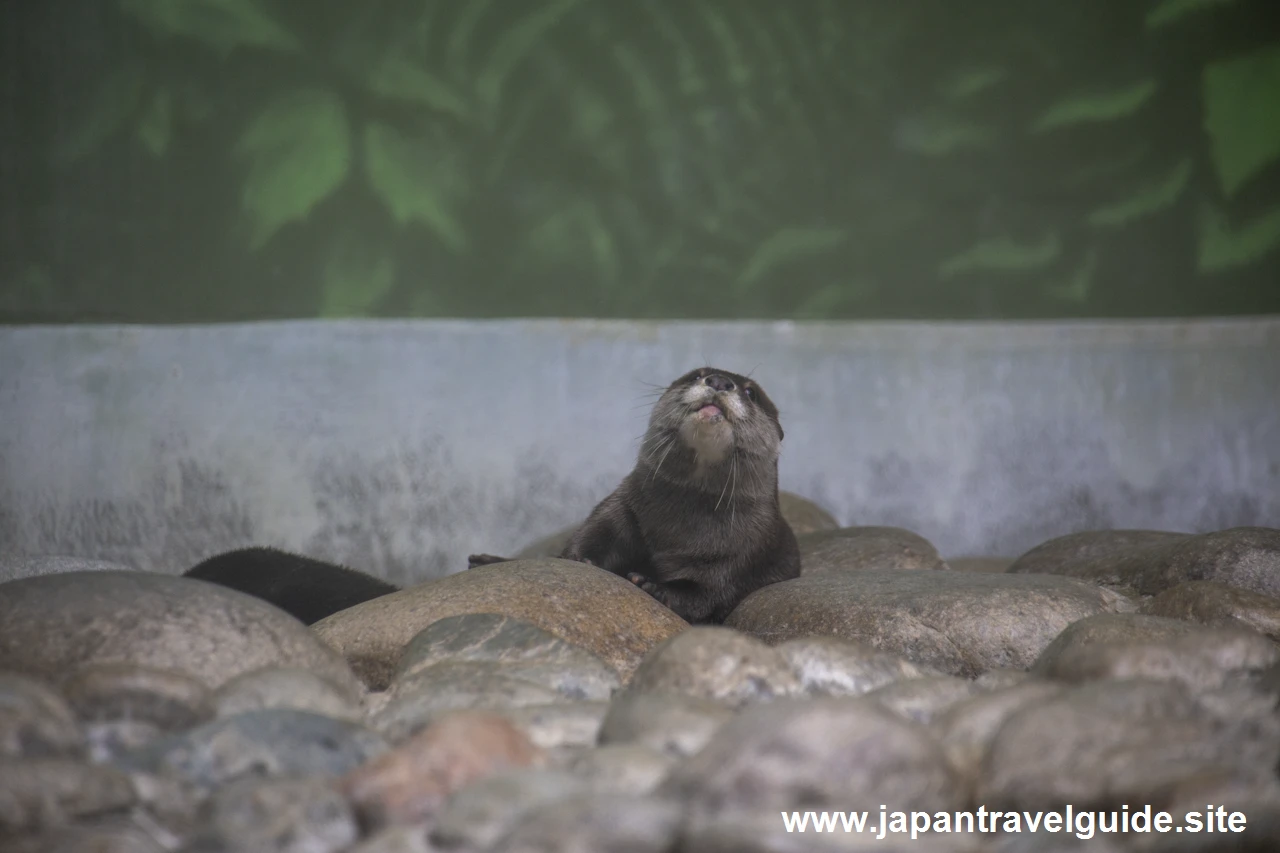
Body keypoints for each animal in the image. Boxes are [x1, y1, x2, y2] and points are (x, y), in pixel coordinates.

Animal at [476, 361, 798, 622]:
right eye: (697, 374)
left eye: (751, 393)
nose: (719, 381)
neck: (677, 533)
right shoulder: (622, 506)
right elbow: (590, 536)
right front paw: (580, 559)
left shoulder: (748, 552)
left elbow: (708, 594)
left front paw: (653, 585)